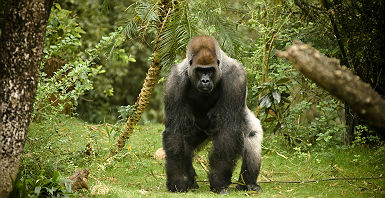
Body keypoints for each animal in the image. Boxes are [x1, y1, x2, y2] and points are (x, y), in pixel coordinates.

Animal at [160, 36, 262, 195]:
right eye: (200, 71)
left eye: (210, 70)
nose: (205, 80)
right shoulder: (174, 82)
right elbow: (176, 131)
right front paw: (179, 181)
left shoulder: (235, 78)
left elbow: (227, 131)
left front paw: (219, 182)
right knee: (186, 144)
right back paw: (191, 181)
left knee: (252, 137)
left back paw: (248, 183)